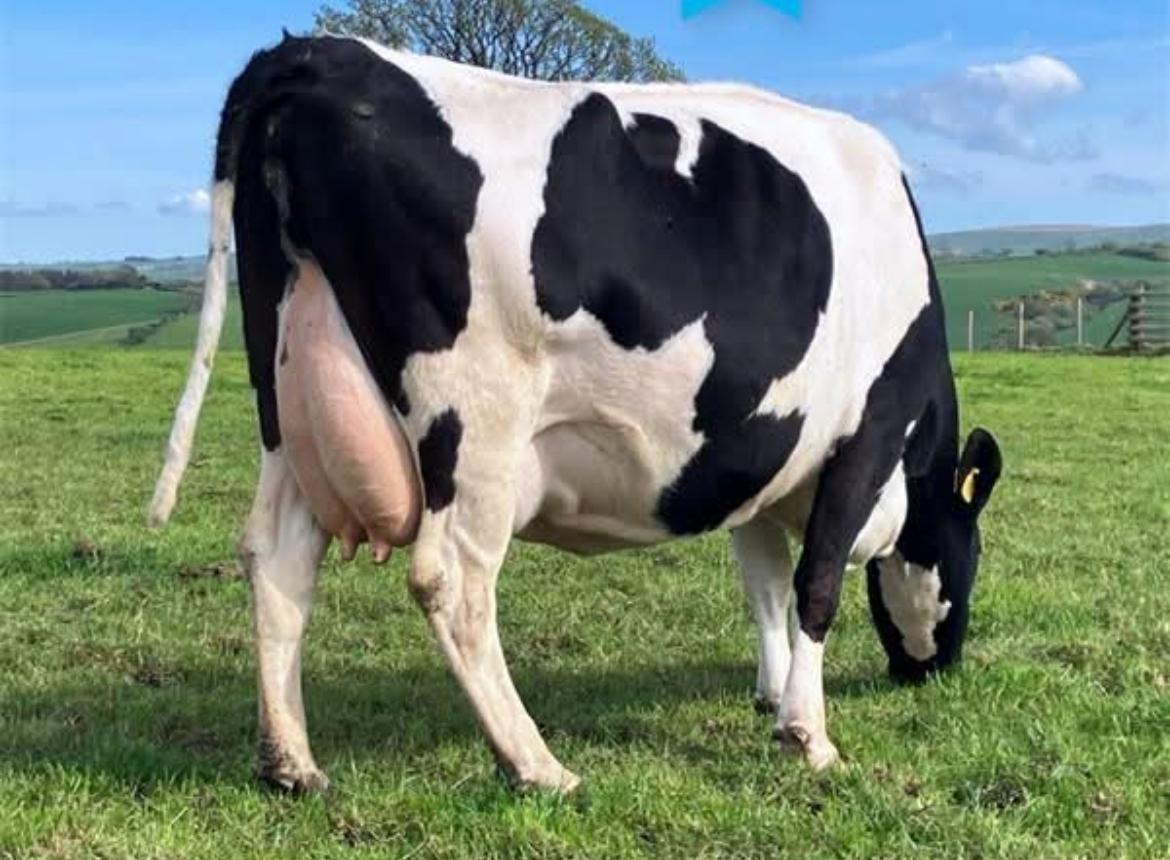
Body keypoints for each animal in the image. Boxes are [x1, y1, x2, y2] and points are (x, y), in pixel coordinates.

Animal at [149, 34, 1002, 794]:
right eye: (971, 549)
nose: (934, 669)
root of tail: (320, 52)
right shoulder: (867, 434)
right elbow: (817, 582)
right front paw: (809, 737)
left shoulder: (760, 456)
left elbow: (763, 585)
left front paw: (771, 693)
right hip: (476, 422)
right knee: (451, 579)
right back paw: (536, 765)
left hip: (289, 394)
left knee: (279, 557)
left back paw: (292, 763)